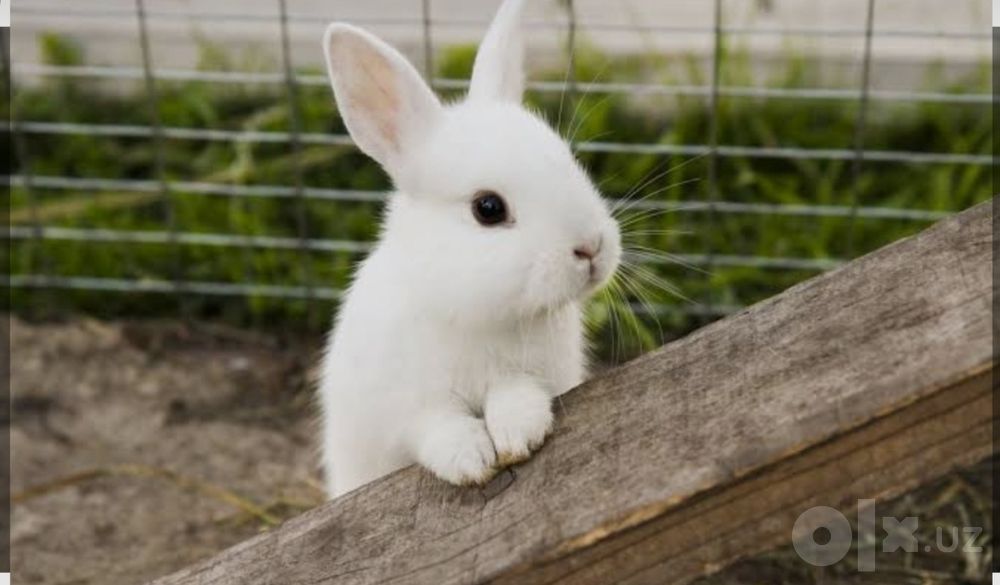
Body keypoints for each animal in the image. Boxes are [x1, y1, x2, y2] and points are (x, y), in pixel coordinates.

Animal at [318, 0, 622, 498]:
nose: (591, 248)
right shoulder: (405, 409)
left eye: (569, 160)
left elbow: (517, 394)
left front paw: (518, 434)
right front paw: (471, 458)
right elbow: (436, 427)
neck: (475, 314)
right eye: (488, 208)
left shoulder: (537, 375)